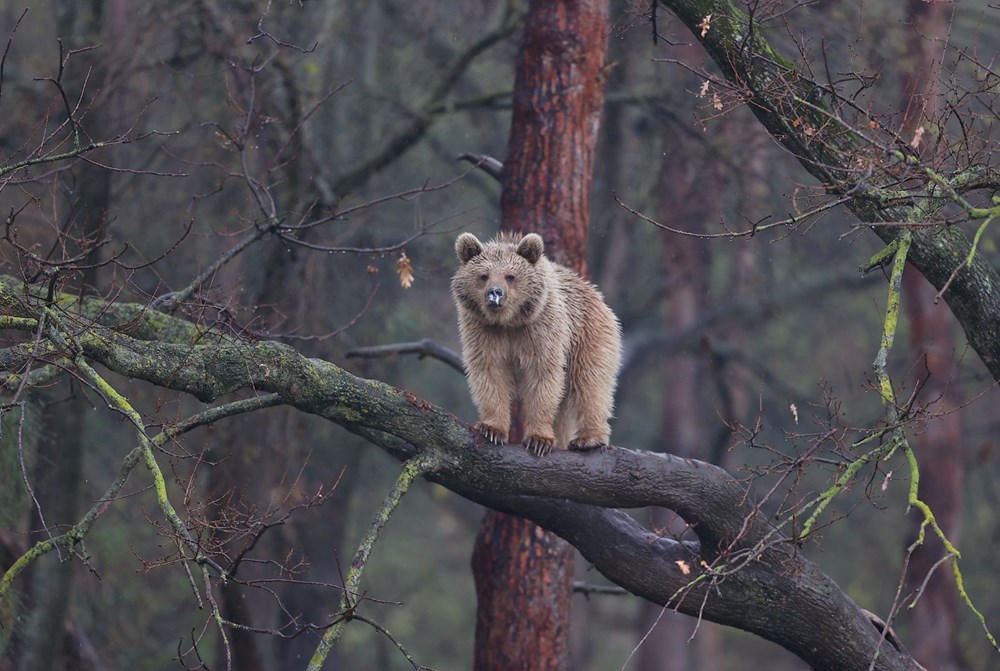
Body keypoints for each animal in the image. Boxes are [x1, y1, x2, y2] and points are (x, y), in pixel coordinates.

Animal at [452, 231, 620, 456]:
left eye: (510, 276)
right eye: (483, 275)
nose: (495, 293)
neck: (508, 322)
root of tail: (595, 293)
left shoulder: (540, 331)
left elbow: (542, 378)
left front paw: (539, 439)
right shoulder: (485, 332)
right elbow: (491, 374)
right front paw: (492, 429)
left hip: (588, 336)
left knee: (590, 384)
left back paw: (589, 439)